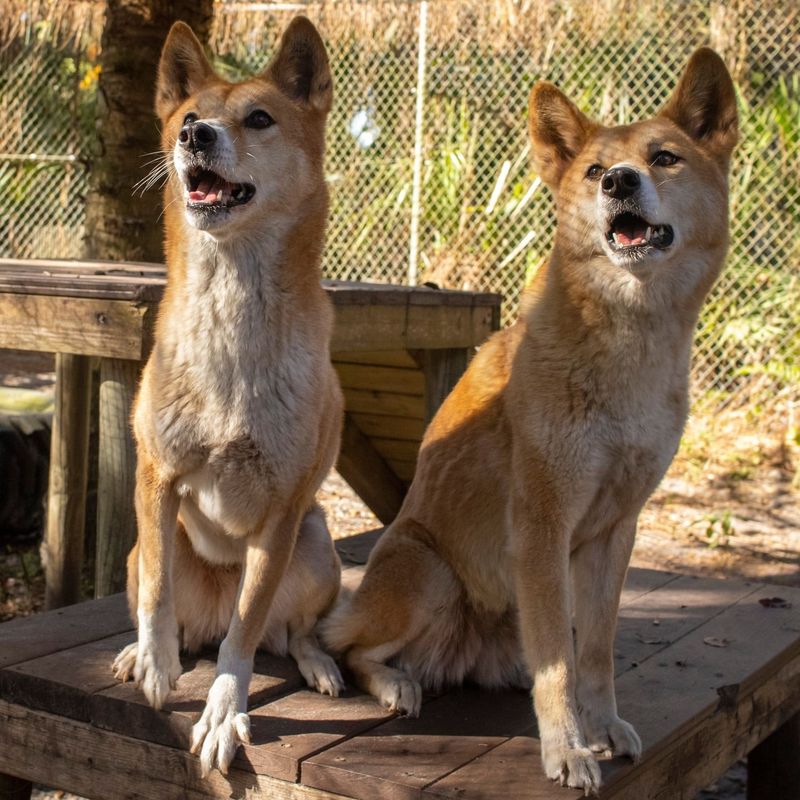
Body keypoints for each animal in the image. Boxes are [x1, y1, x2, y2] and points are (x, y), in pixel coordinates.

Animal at [110, 17, 344, 776]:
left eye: (260, 118)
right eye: (188, 116)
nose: (196, 135)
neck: (231, 317)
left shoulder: (280, 516)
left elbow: (245, 636)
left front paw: (221, 711)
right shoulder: (156, 477)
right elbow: (158, 594)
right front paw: (156, 663)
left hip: (316, 546)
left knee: (284, 630)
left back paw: (317, 663)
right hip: (143, 550)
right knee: (172, 603)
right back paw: (140, 653)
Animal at [322, 50, 740, 792]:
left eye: (664, 158)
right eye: (597, 172)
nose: (622, 182)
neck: (626, 345)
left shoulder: (613, 532)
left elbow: (592, 653)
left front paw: (602, 727)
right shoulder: (544, 526)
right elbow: (560, 666)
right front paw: (568, 748)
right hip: (431, 574)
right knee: (353, 651)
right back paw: (398, 684)